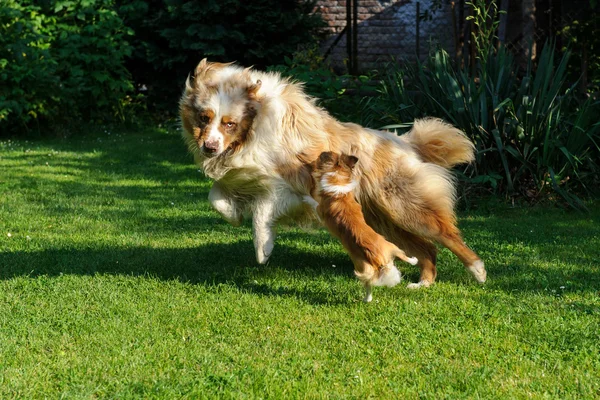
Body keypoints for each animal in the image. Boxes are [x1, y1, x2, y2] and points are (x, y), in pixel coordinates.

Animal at [304, 152, 418, 302]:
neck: (339, 182)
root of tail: (379, 258)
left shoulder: (320, 210)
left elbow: (313, 202)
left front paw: (306, 197)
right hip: (391, 247)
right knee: (403, 255)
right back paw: (414, 260)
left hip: (362, 268)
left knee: (368, 285)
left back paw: (366, 299)